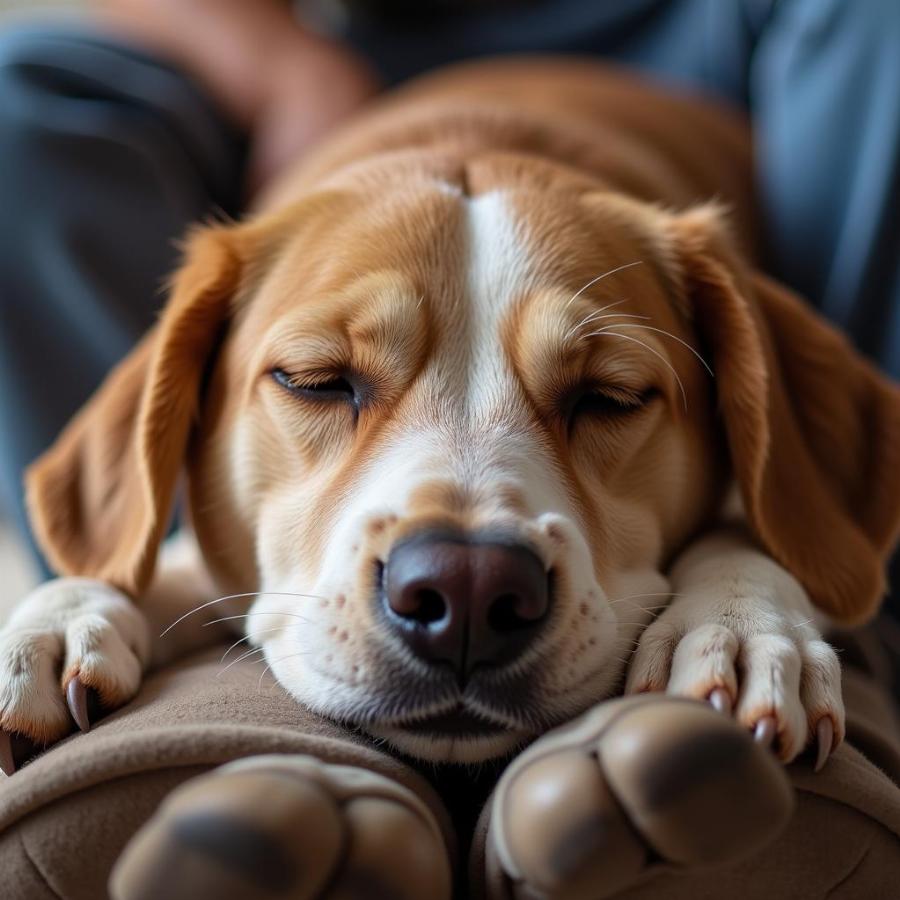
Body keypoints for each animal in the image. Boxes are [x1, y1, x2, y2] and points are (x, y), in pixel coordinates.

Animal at [1, 58, 900, 772]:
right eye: (315, 381)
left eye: (608, 396)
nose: (468, 589)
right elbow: (149, 560)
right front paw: (59, 618)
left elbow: (750, 528)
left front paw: (741, 624)